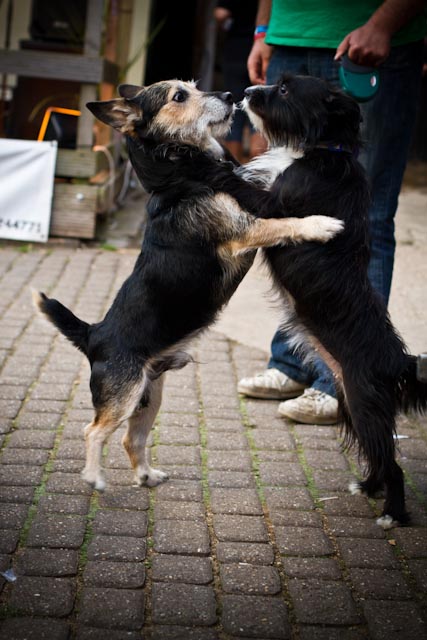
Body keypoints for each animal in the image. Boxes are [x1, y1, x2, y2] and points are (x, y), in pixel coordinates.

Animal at [237, 75, 427, 528]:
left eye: (285, 90)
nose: (247, 91)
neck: (324, 150)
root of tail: (399, 360)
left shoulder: (272, 206)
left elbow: (227, 177)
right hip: (352, 404)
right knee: (378, 457)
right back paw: (368, 487)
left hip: (365, 405)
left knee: (393, 465)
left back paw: (392, 513)